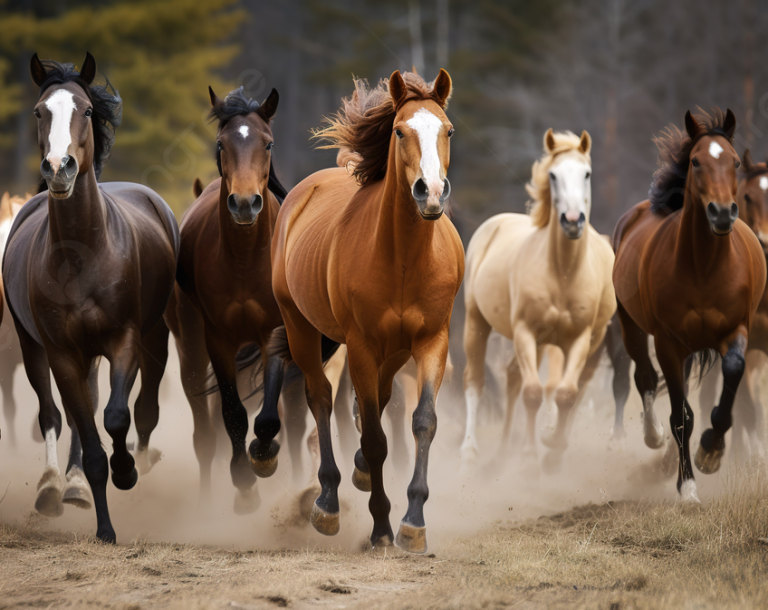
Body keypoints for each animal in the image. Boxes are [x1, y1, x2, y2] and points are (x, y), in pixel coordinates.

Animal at [3, 53, 179, 543]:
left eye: (84, 110)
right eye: (39, 111)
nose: (58, 167)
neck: (82, 254)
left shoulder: (125, 340)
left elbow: (116, 416)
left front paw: (126, 471)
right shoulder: (61, 352)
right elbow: (80, 427)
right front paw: (104, 527)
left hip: (152, 337)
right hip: (32, 345)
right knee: (52, 413)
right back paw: (55, 487)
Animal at [164, 85, 299, 513]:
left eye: (268, 143)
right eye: (222, 144)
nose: (243, 203)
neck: (244, 260)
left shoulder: (273, 332)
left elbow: (268, 414)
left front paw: (264, 454)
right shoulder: (218, 340)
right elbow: (232, 413)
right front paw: (243, 484)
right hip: (190, 347)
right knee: (204, 434)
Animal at [270, 69, 463, 553]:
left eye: (448, 130)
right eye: (399, 131)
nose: (431, 193)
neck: (404, 259)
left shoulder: (432, 341)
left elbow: (423, 422)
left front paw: (414, 523)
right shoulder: (359, 346)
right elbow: (376, 438)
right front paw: (381, 528)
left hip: (393, 350)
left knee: (375, 398)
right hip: (302, 329)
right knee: (320, 399)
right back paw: (326, 503)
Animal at [461, 129, 615, 472]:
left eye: (587, 173)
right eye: (553, 175)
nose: (572, 221)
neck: (562, 272)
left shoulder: (580, 339)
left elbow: (566, 394)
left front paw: (552, 448)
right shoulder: (525, 331)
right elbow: (532, 393)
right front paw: (531, 454)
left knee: (520, 380)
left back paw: (505, 453)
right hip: (476, 321)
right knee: (476, 382)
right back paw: (472, 451)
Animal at [613, 108, 766, 501]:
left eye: (732, 161)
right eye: (696, 161)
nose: (722, 213)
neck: (704, 267)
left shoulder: (736, 332)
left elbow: (731, 377)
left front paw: (711, 451)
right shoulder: (668, 343)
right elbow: (681, 417)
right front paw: (688, 489)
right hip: (632, 327)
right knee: (644, 376)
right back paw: (653, 436)